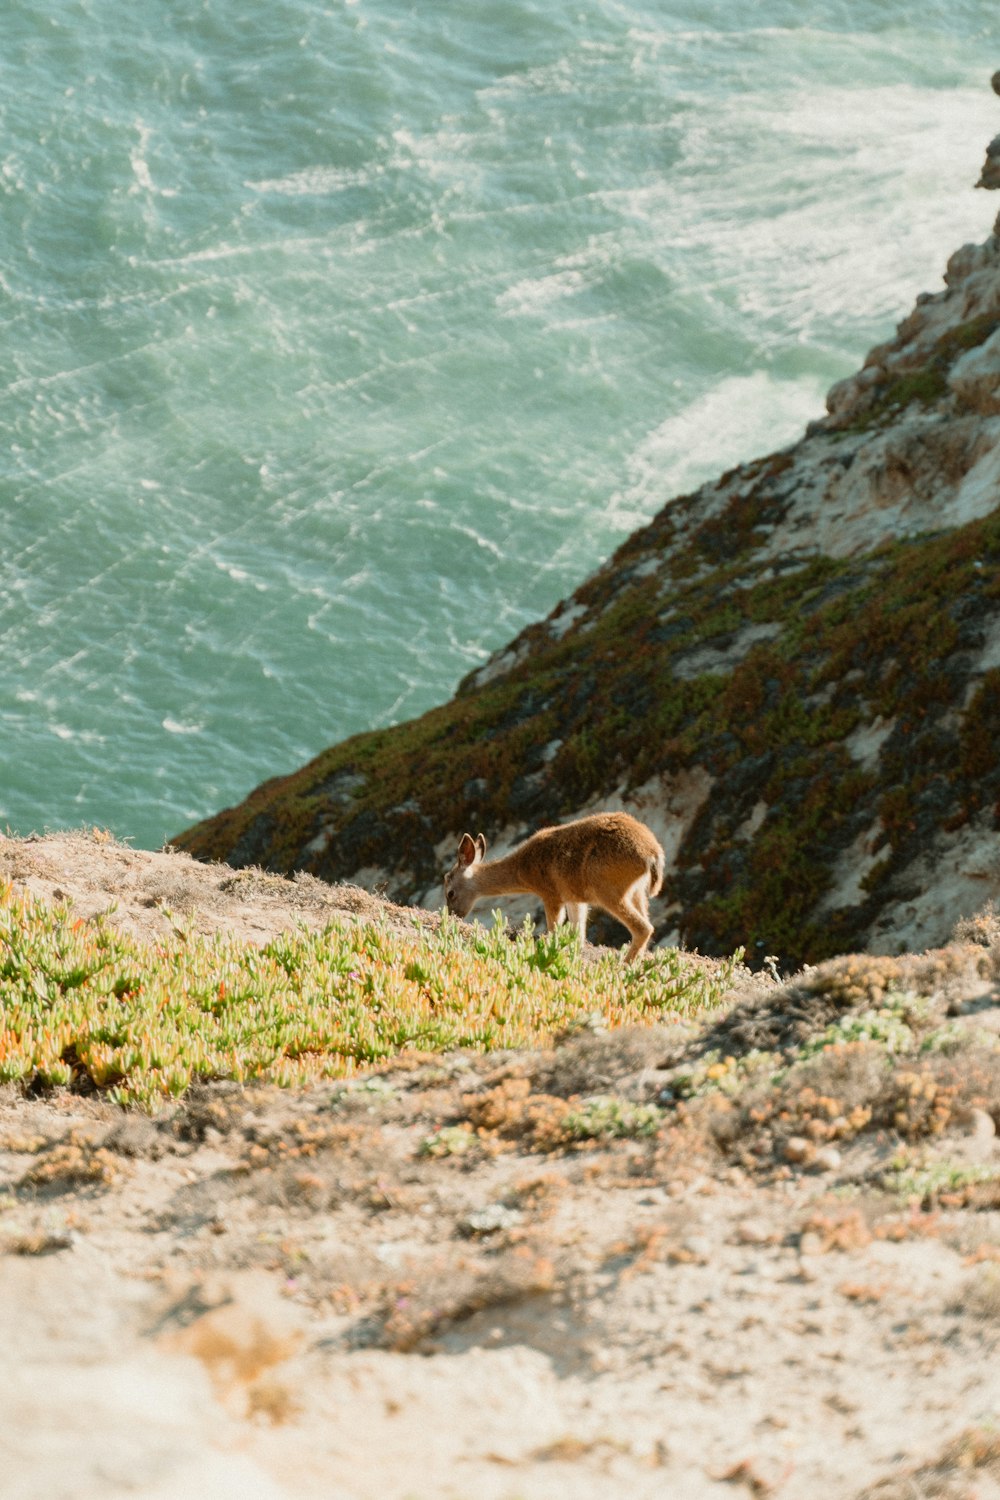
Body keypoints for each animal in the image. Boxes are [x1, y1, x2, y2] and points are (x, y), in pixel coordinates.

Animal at [443, 816, 665, 966]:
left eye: (450, 893)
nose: (453, 915)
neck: (523, 870)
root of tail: (652, 853)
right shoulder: (574, 898)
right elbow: (578, 934)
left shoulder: (551, 894)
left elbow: (554, 929)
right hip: (637, 892)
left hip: (609, 889)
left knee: (643, 928)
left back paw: (624, 965)